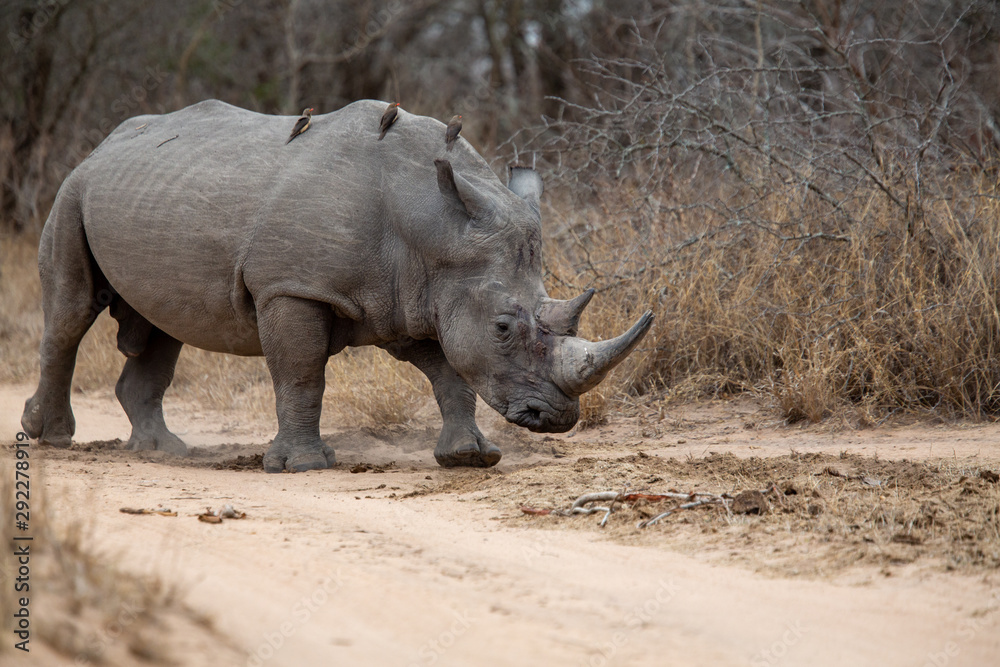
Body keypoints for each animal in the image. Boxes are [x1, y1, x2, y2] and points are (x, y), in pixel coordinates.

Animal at [21, 100, 652, 472]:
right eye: (503, 327)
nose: (557, 418)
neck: (433, 226)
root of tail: (103, 144)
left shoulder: (420, 295)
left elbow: (451, 375)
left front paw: (470, 457)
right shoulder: (293, 287)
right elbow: (301, 374)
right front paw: (303, 466)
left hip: (147, 194)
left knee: (161, 326)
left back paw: (163, 450)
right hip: (73, 189)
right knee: (71, 312)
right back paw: (51, 438)